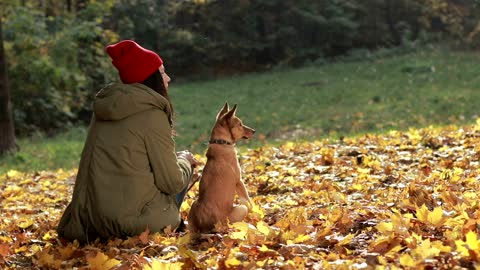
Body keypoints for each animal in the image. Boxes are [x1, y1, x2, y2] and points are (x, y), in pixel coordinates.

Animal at [188, 102, 255, 233]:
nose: (254, 131)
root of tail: (210, 227)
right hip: (240, 209)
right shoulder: (239, 181)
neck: (221, 143)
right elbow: (248, 201)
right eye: (240, 124)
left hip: (193, 205)